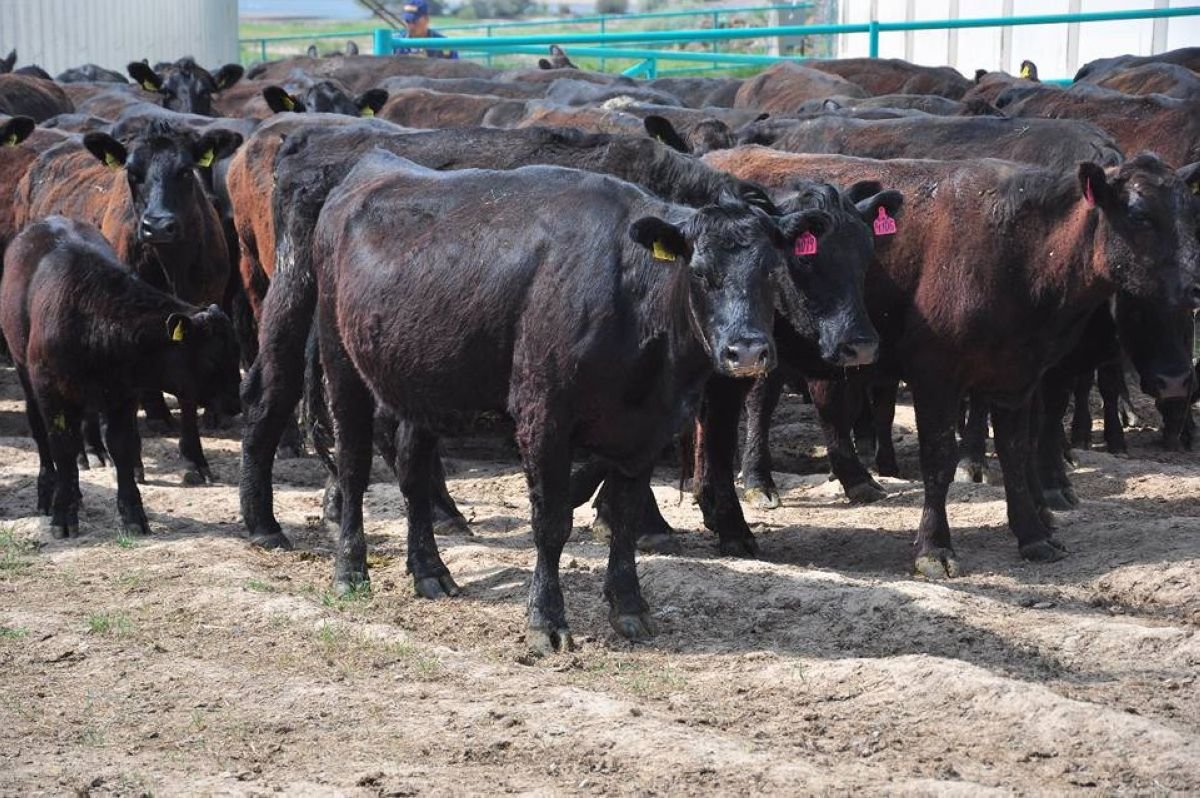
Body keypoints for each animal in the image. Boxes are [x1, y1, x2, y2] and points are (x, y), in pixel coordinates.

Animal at [0, 216, 243, 535]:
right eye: (213, 358)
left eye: (236, 353)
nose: (235, 404)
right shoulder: (51, 392)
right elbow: (62, 447)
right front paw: (62, 514)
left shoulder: (123, 394)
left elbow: (122, 446)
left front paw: (134, 514)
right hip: (25, 374)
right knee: (41, 434)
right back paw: (48, 492)